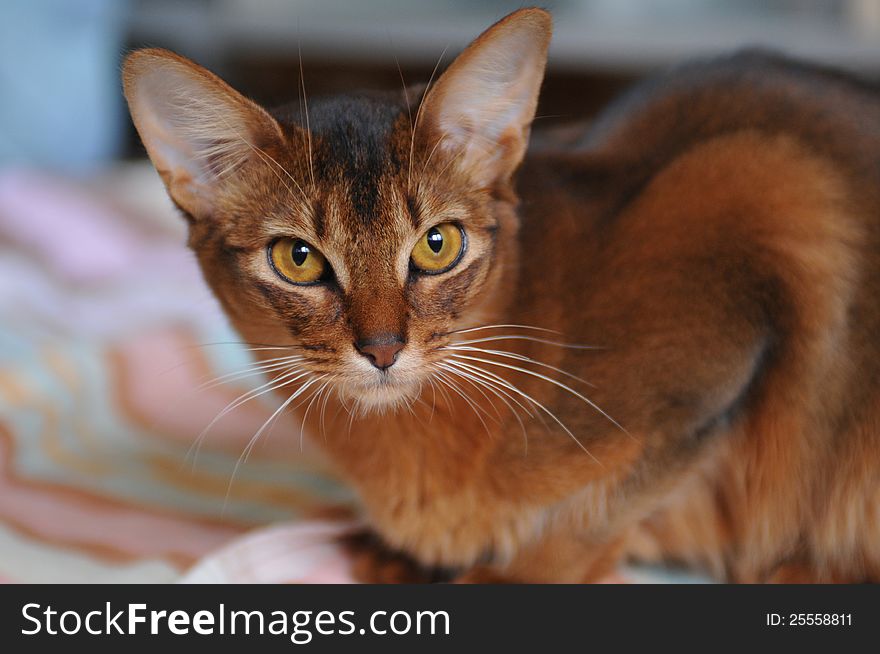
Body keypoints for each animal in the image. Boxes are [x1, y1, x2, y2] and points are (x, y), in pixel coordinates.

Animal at [124, 7, 880, 584]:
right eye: (298, 259)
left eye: (438, 244)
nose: (382, 349)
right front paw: (397, 554)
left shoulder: (758, 210)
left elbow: (590, 518)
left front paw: (505, 575)